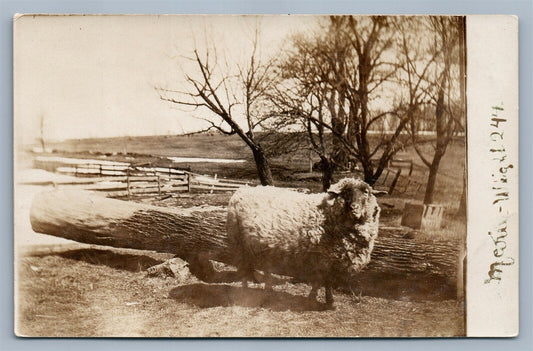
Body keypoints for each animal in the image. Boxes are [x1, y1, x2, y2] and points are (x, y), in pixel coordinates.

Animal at [224, 177, 378, 306]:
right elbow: (320, 281)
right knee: (244, 269)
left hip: (262, 247)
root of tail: (241, 190)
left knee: (263, 269)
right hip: (239, 242)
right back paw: (245, 291)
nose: (354, 208)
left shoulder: (330, 259)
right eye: (346, 192)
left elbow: (328, 281)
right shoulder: (321, 257)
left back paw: (268, 289)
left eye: (366, 192)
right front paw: (314, 299)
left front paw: (329, 300)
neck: (328, 214)